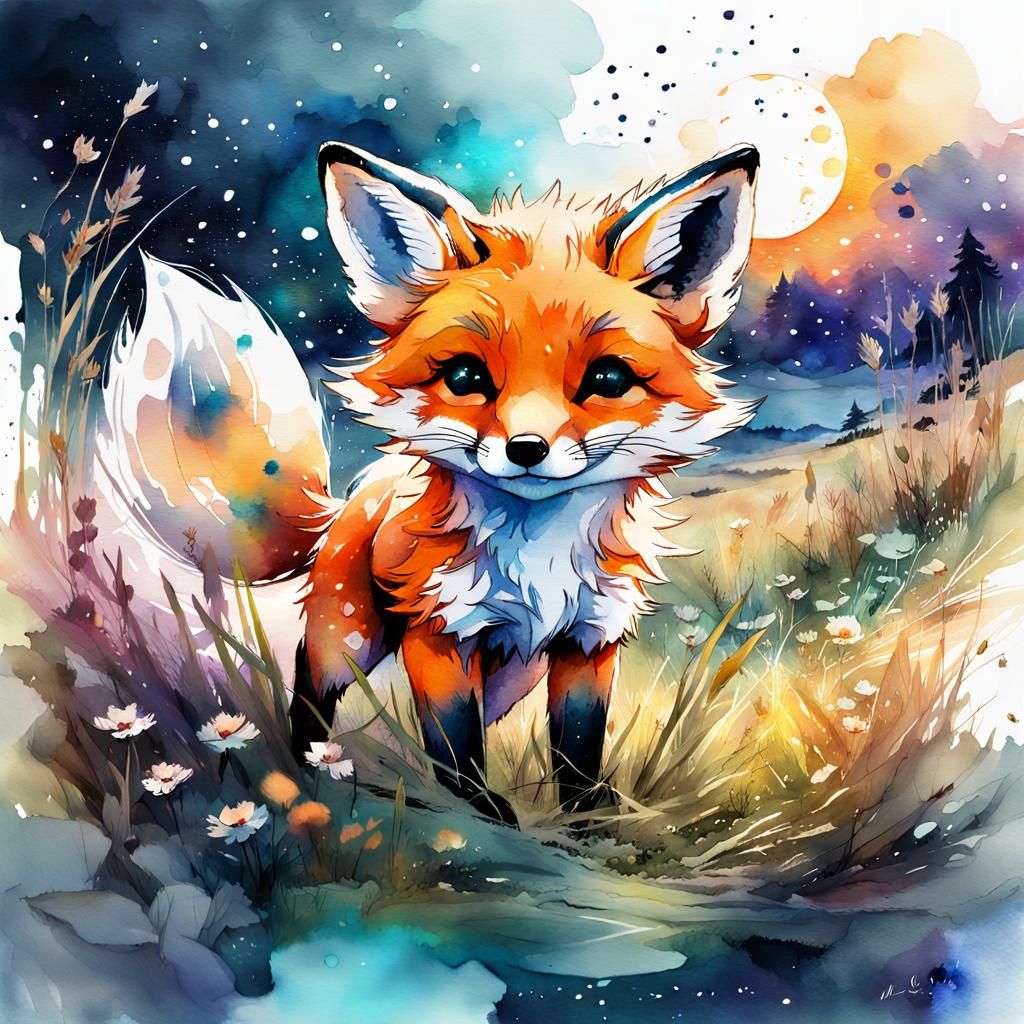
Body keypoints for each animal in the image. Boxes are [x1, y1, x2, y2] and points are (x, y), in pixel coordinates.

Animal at [103, 140, 760, 825]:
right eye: (466, 376)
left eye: (607, 380)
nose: (527, 449)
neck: (537, 556)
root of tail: (349, 501)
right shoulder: (441, 632)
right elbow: (455, 740)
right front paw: (479, 808)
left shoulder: (588, 640)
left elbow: (577, 744)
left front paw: (587, 811)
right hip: (350, 637)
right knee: (311, 686)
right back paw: (308, 767)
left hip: (512, 674)